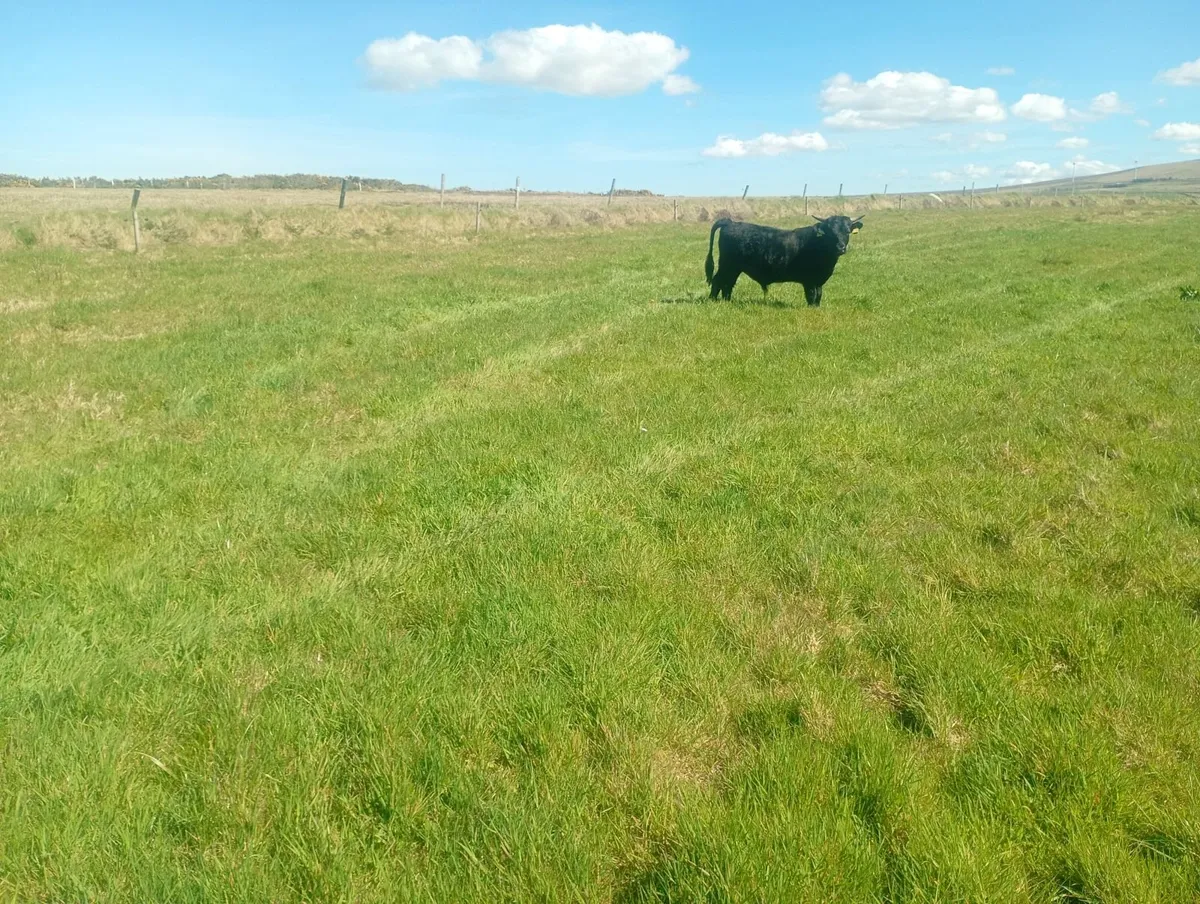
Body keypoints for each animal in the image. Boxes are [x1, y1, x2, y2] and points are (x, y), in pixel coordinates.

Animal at [704, 214, 864, 305]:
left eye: (847, 231)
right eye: (830, 232)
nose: (840, 248)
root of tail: (730, 222)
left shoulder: (818, 281)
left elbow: (818, 295)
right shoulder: (809, 281)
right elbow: (811, 296)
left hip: (734, 268)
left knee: (728, 284)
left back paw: (727, 302)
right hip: (727, 265)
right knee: (718, 281)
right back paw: (713, 301)